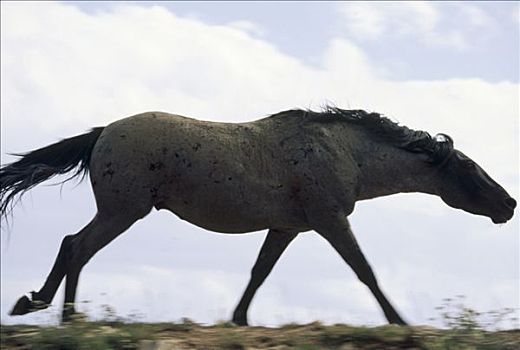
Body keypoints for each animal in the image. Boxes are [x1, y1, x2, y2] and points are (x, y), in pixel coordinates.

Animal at [2, 107, 516, 326]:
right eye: (471, 168)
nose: (509, 205)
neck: (346, 154)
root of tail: (102, 131)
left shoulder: (287, 227)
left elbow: (259, 272)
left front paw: (239, 319)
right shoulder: (329, 219)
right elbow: (365, 271)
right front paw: (400, 322)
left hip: (120, 211)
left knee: (74, 247)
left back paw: (46, 307)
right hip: (124, 210)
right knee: (76, 246)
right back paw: (56, 313)